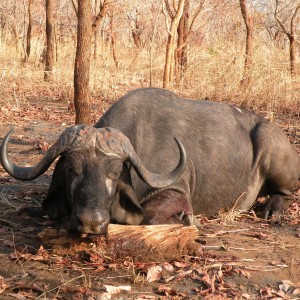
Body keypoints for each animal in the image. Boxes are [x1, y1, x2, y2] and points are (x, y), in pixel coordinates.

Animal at [0, 88, 300, 233]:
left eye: (114, 173)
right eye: (72, 170)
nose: (91, 222)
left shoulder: (175, 192)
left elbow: (149, 217)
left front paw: (187, 221)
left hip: (269, 143)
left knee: (286, 193)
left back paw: (273, 210)